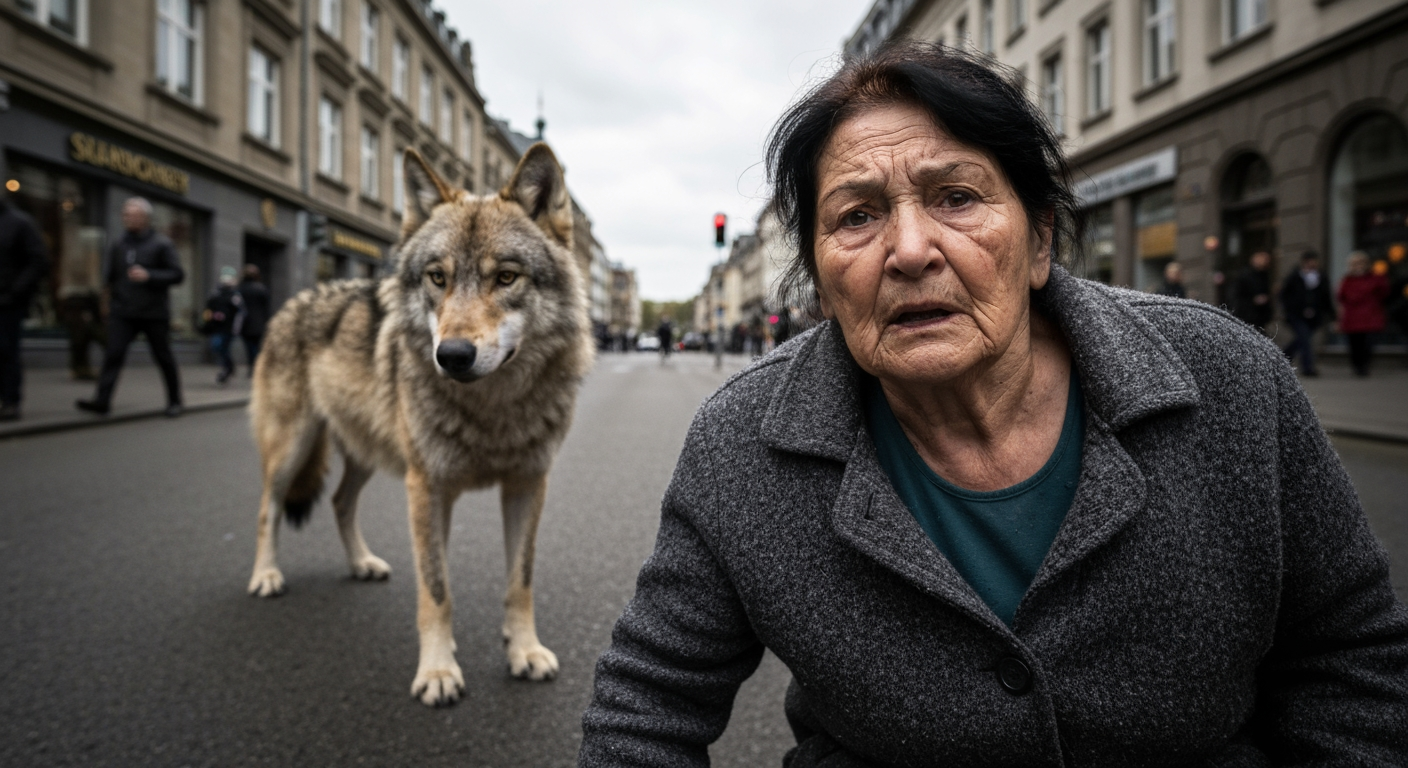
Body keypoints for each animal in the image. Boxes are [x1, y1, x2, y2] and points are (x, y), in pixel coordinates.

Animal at [246, 144, 593, 707]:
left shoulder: (527, 484)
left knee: (340, 503)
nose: (451, 355)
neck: (493, 411)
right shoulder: (427, 488)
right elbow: (437, 589)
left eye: (506, 277)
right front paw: (437, 671)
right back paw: (266, 575)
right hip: (292, 451)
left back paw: (362, 564)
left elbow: (519, 580)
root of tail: (295, 299)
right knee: (267, 509)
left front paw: (523, 651)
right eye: (437, 277)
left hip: (366, 456)